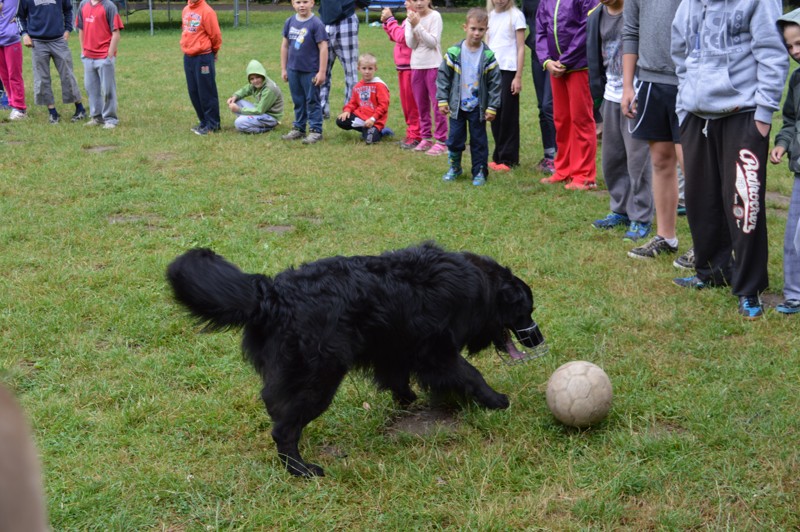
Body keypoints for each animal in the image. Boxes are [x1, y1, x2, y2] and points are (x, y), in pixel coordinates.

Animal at [169, 243, 544, 476]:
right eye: (526, 309)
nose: (539, 339)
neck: (481, 285)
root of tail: (272, 295)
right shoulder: (435, 350)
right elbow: (469, 374)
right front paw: (496, 400)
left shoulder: (396, 347)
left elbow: (399, 379)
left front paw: (407, 402)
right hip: (318, 378)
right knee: (284, 428)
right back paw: (301, 470)